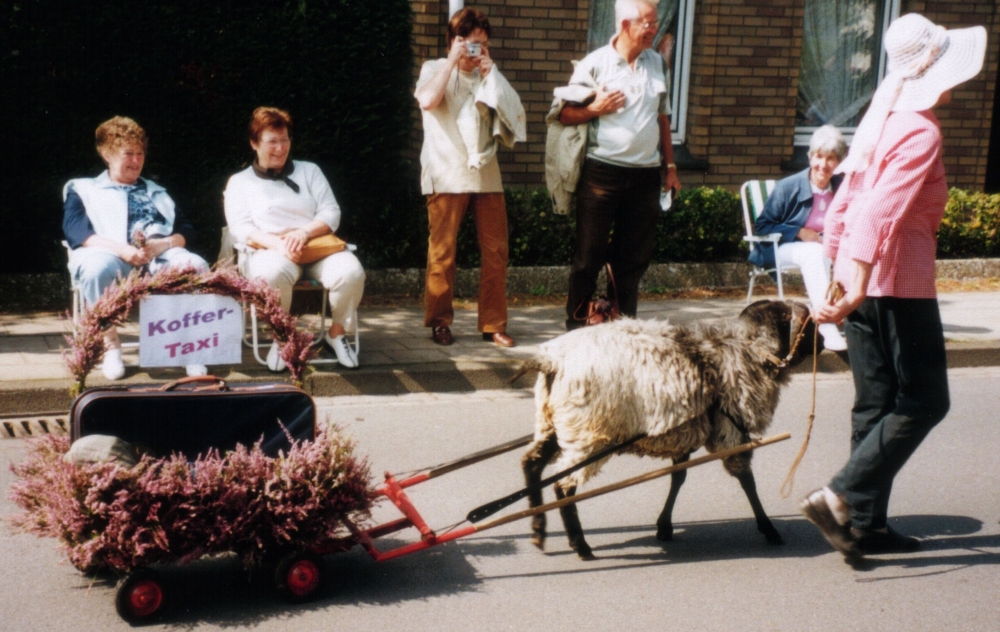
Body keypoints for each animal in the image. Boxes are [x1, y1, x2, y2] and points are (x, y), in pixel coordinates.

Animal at [519, 299, 818, 560]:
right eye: (810, 325)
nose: (826, 341)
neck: (747, 353)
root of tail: (552, 361)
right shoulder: (730, 431)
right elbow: (746, 481)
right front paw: (769, 529)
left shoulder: (684, 433)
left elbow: (678, 477)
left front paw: (664, 526)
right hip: (589, 434)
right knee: (563, 485)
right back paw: (580, 546)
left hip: (553, 423)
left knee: (531, 463)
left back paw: (538, 529)